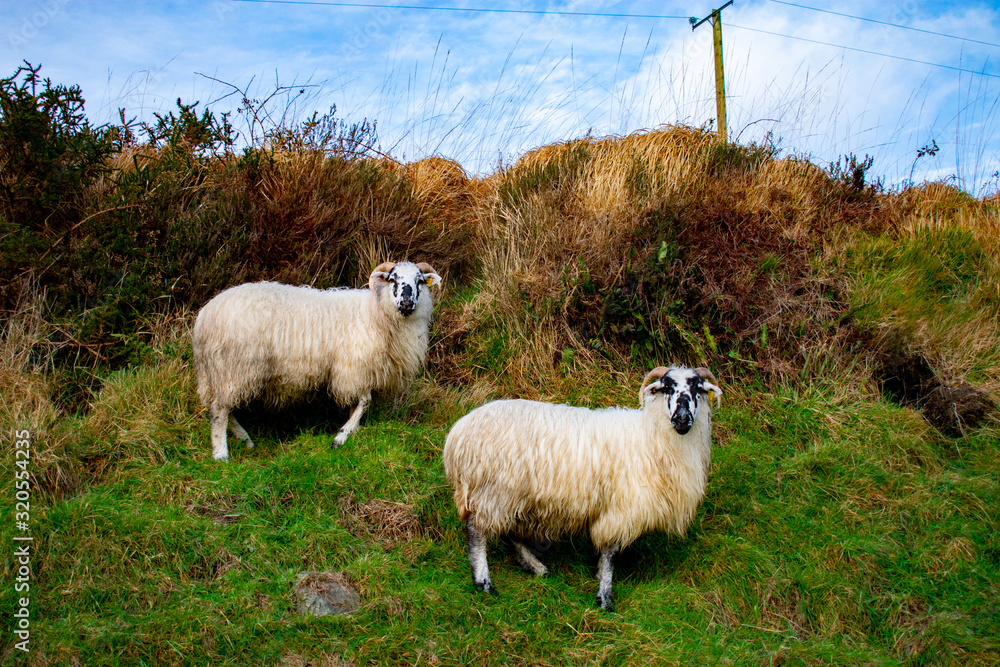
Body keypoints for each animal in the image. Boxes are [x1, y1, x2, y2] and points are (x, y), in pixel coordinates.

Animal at [193, 261, 442, 460]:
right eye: (393, 279)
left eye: (420, 281)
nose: (407, 303)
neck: (376, 312)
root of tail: (205, 317)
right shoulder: (353, 367)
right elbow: (364, 402)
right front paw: (342, 436)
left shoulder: (358, 371)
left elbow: (357, 404)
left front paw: (350, 430)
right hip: (233, 367)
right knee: (219, 411)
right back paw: (221, 454)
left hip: (216, 373)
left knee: (222, 408)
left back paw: (245, 440)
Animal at [442, 366, 722, 612]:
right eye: (667, 388)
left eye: (698, 389)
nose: (682, 418)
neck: (651, 437)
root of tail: (458, 434)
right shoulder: (620, 509)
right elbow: (610, 555)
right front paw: (605, 597)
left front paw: (598, 578)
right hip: (495, 490)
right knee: (477, 532)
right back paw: (484, 583)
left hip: (513, 496)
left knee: (508, 532)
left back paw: (535, 567)